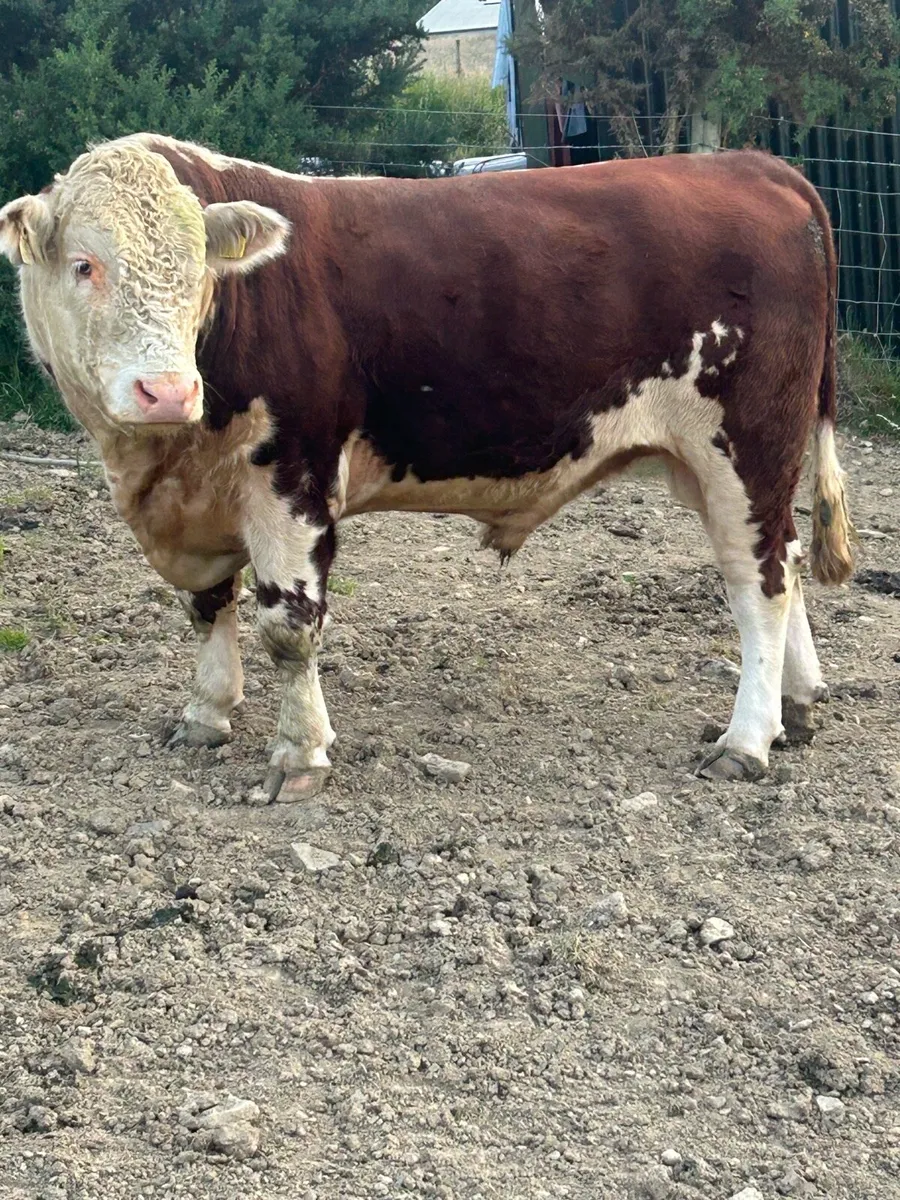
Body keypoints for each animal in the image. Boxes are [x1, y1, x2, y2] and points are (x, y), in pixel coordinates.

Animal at [0, 135, 854, 801]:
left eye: (199, 273)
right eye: (84, 265)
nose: (168, 390)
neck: (162, 463)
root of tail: (751, 164)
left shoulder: (293, 479)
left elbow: (288, 627)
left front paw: (300, 755)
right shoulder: (199, 501)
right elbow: (210, 606)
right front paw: (206, 715)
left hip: (747, 443)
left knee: (759, 582)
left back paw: (747, 740)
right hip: (717, 462)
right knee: (786, 556)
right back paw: (798, 705)